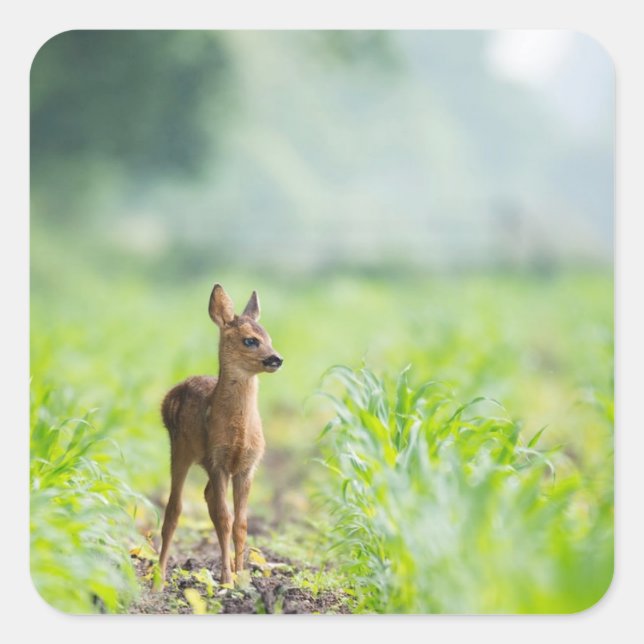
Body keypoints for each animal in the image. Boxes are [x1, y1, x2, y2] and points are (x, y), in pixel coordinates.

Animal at [157, 283, 283, 586]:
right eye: (250, 341)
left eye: (269, 337)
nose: (276, 358)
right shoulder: (217, 461)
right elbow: (225, 519)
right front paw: (227, 579)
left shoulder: (247, 466)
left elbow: (241, 523)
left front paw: (242, 576)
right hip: (179, 450)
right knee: (174, 509)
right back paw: (159, 576)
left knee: (207, 499)